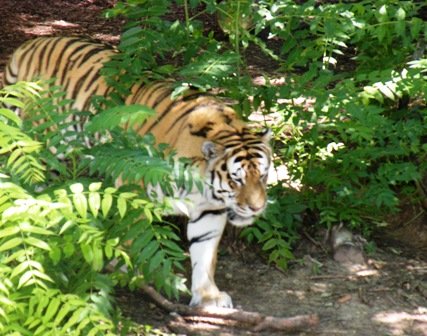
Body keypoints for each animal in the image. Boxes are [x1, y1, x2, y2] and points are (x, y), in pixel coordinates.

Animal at [3, 36, 272, 308]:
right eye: (236, 179)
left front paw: (208, 296)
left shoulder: (209, 211)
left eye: (262, 175)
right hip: (44, 147)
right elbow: (136, 237)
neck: (202, 186)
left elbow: (204, 256)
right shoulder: (134, 191)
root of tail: (32, 44)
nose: (257, 208)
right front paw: (132, 275)